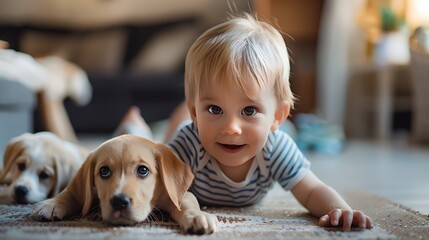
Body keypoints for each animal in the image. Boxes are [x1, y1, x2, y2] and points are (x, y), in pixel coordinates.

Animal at [32, 135, 217, 234]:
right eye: (104, 171)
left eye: (143, 170)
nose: (119, 202)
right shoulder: (82, 189)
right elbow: (71, 192)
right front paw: (51, 204)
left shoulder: (175, 193)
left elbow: (186, 203)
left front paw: (196, 216)